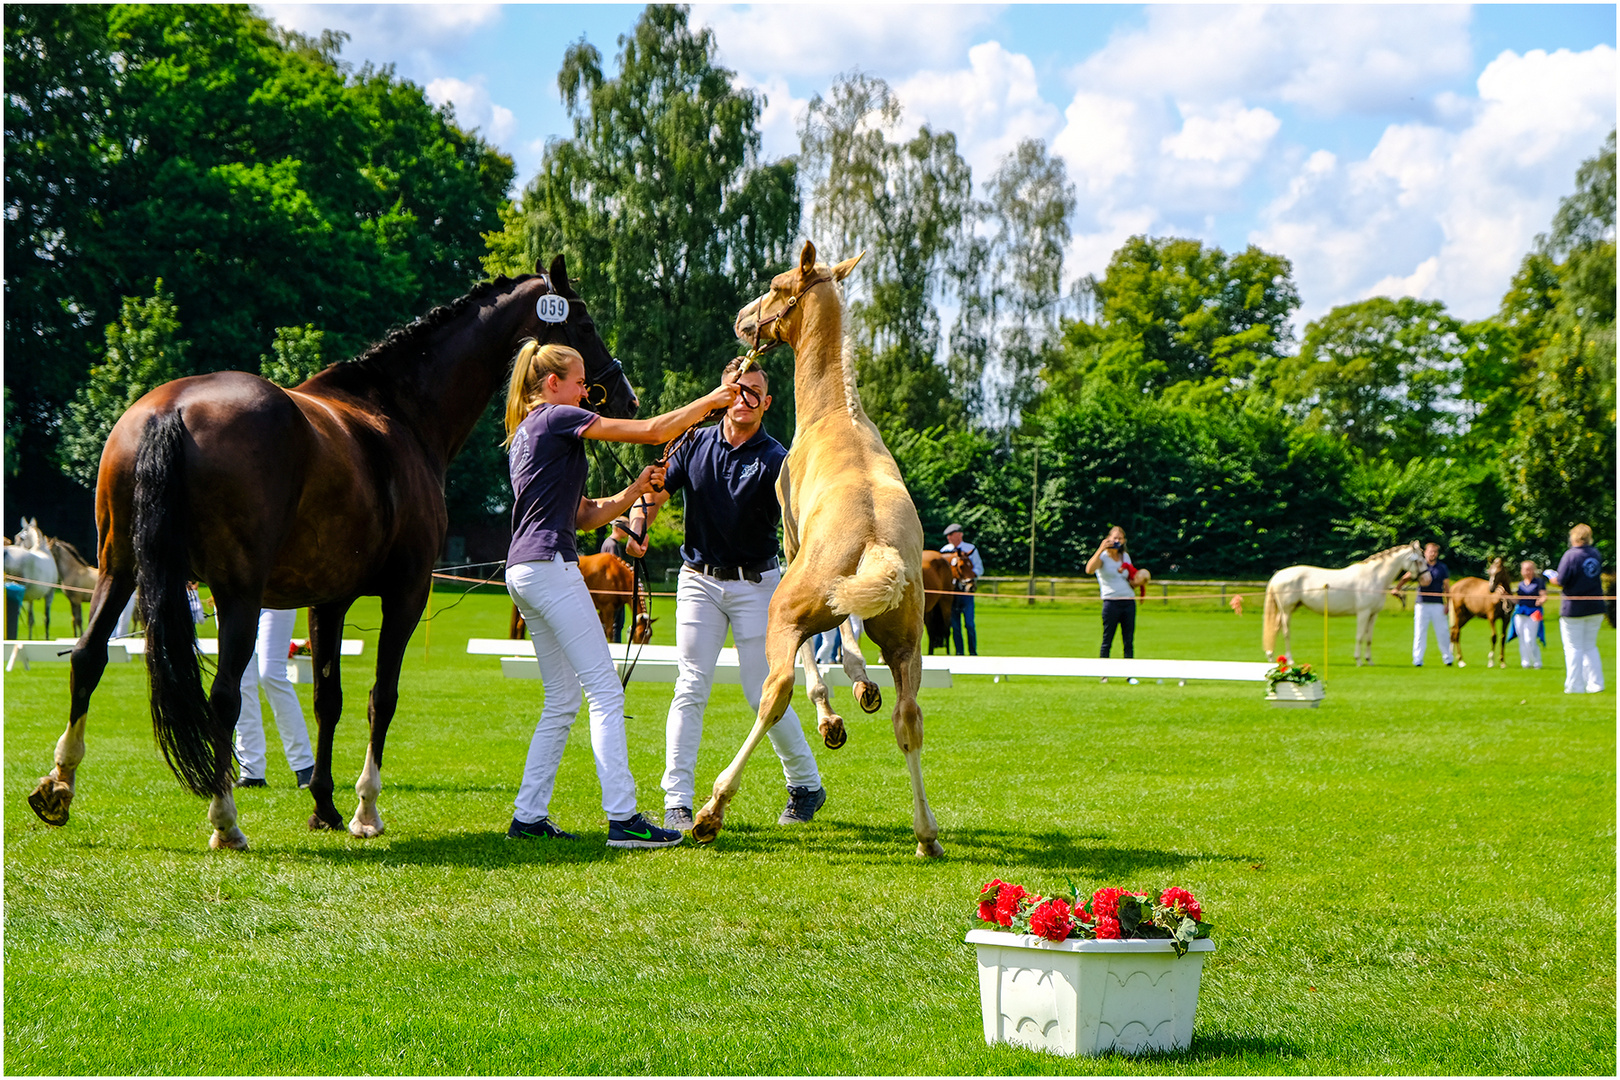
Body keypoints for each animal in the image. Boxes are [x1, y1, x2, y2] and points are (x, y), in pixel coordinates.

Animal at [29, 257, 638, 848]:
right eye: (585, 322)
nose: (626, 397)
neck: (400, 412)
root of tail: (170, 411)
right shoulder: (406, 593)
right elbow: (380, 696)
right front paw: (365, 810)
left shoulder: (328, 599)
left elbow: (328, 696)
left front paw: (323, 805)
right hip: (237, 592)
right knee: (224, 694)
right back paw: (225, 821)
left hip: (120, 570)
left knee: (87, 657)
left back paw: (59, 786)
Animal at [690, 244, 946, 861]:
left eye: (779, 284)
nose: (743, 319)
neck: (834, 415)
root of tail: (877, 545)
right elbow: (849, 636)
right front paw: (861, 685)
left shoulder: (789, 545)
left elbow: (813, 661)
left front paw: (836, 710)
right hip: (907, 643)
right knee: (909, 718)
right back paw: (925, 834)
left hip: (786, 610)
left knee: (776, 692)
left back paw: (711, 812)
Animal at [1257, 540, 1425, 667]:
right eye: (1419, 560)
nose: (1425, 578)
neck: (1373, 577)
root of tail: (1279, 574)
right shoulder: (1363, 613)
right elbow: (1359, 636)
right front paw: (1358, 661)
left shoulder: (1373, 614)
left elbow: (1369, 638)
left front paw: (1369, 660)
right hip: (1287, 610)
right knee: (1286, 633)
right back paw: (1290, 660)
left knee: (1275, 629)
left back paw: (1271, 657)